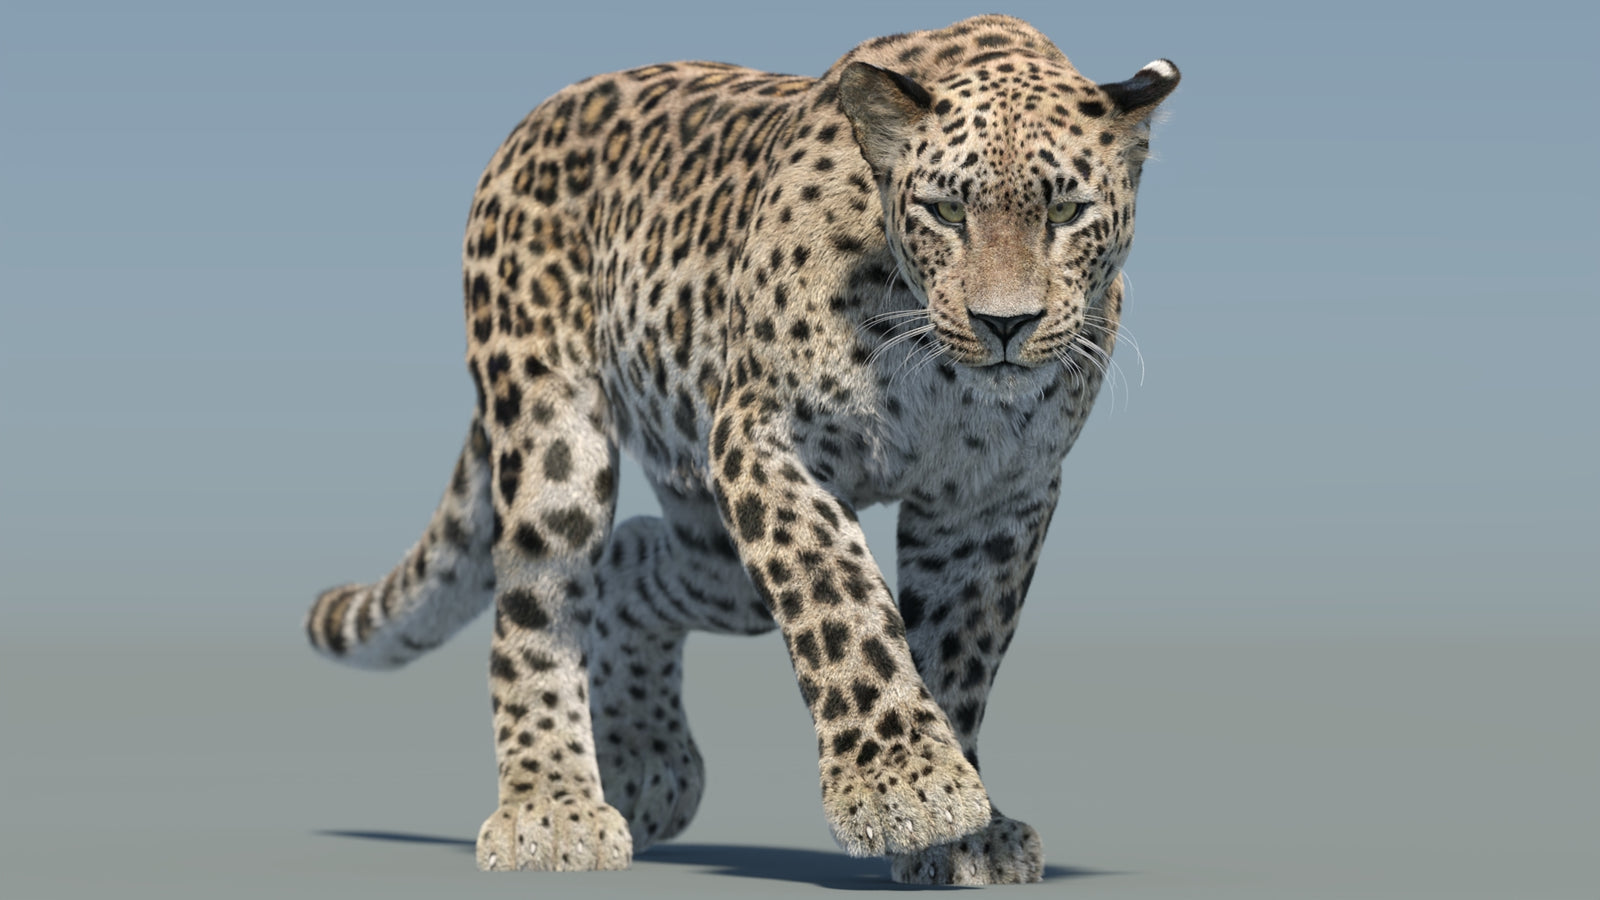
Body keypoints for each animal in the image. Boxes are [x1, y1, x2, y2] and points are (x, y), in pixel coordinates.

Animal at [304, 14, 1178, 885]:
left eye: (1065, 213)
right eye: (944, 211)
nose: (1005, 324)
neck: (937, 371)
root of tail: (535, 120)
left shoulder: (995, 495)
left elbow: (961, 648)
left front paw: (964, 832)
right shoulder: (762, 438)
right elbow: (840, 602)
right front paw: (904, 787)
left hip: (712, 541)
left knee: (631, 558)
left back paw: (649, 768)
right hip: (554, 432)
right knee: (537, 607)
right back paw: (551, 809)